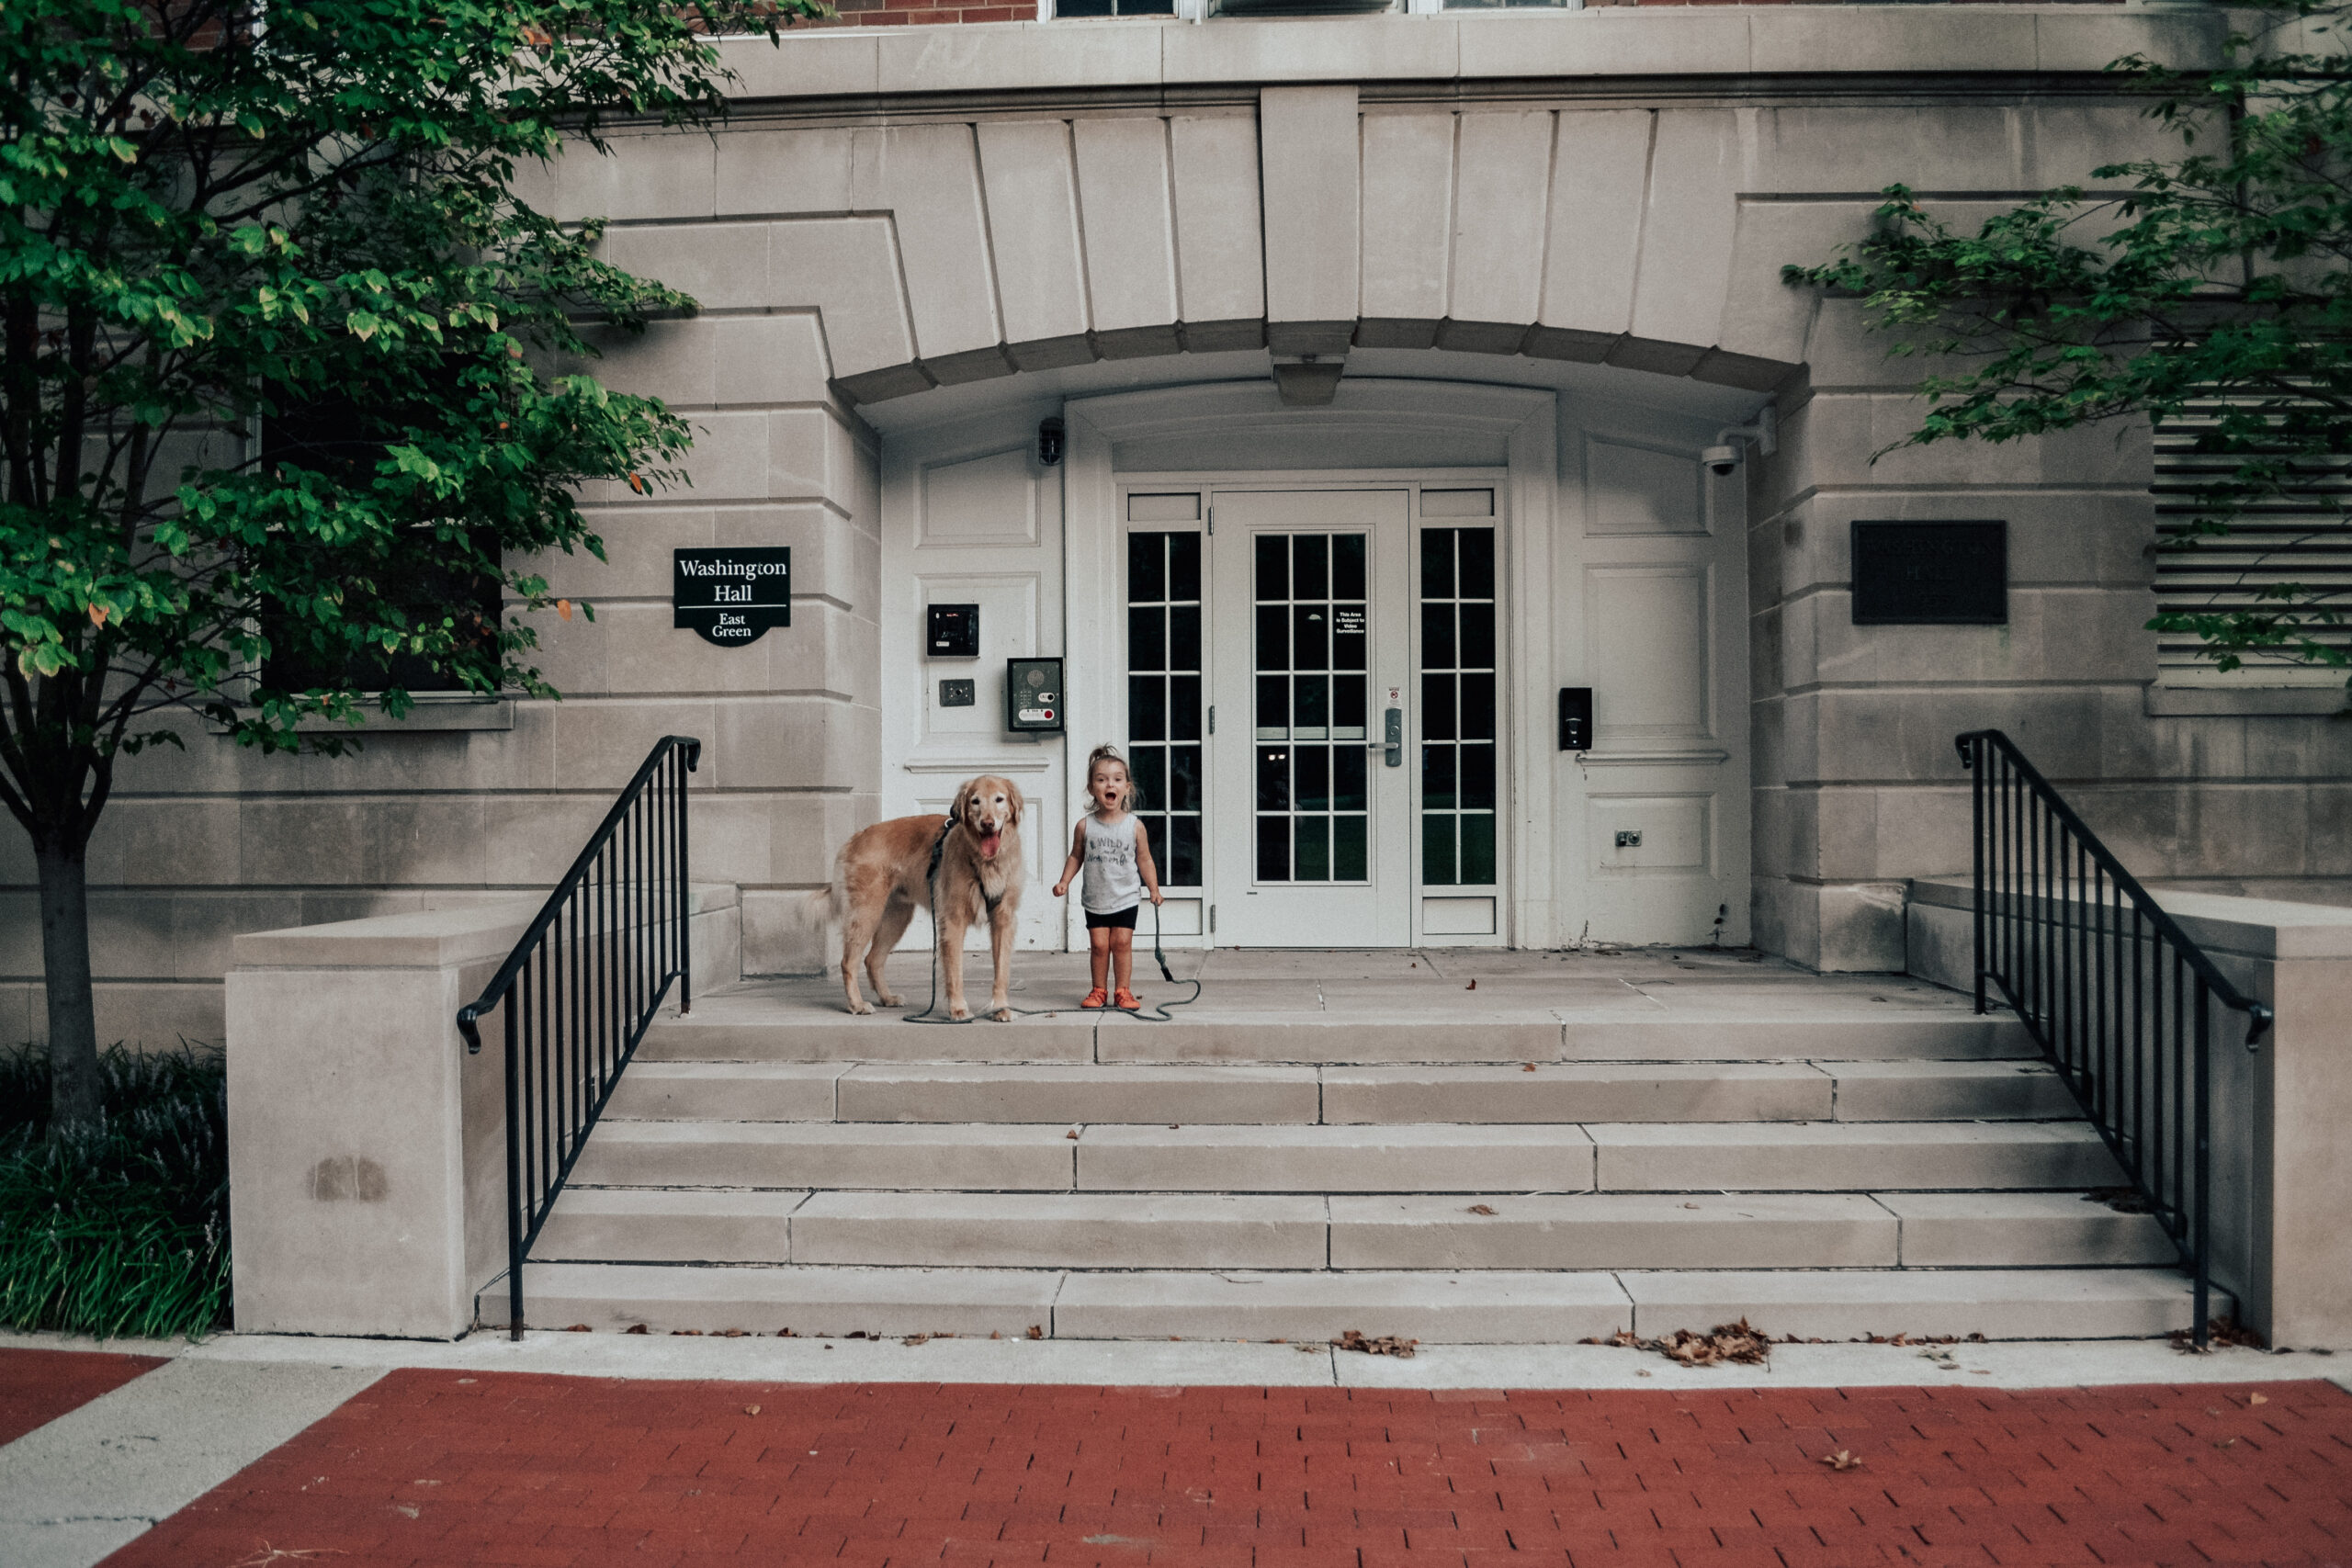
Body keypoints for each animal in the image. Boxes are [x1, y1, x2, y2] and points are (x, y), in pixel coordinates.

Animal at [813, 780, 1025, 1024]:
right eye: (975, 801)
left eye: (999, 799)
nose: (988, 824)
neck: (986, 861)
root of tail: (856, 837)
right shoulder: (953, 921)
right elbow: (955, 973)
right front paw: (958, 1010)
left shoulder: (1003, 920)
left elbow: (1001, 972)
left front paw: (1000, 1009)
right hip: (866, 912)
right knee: (849, 962)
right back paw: (856, 1004)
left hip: (896, 917)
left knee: (872, 960)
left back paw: (887, 998)